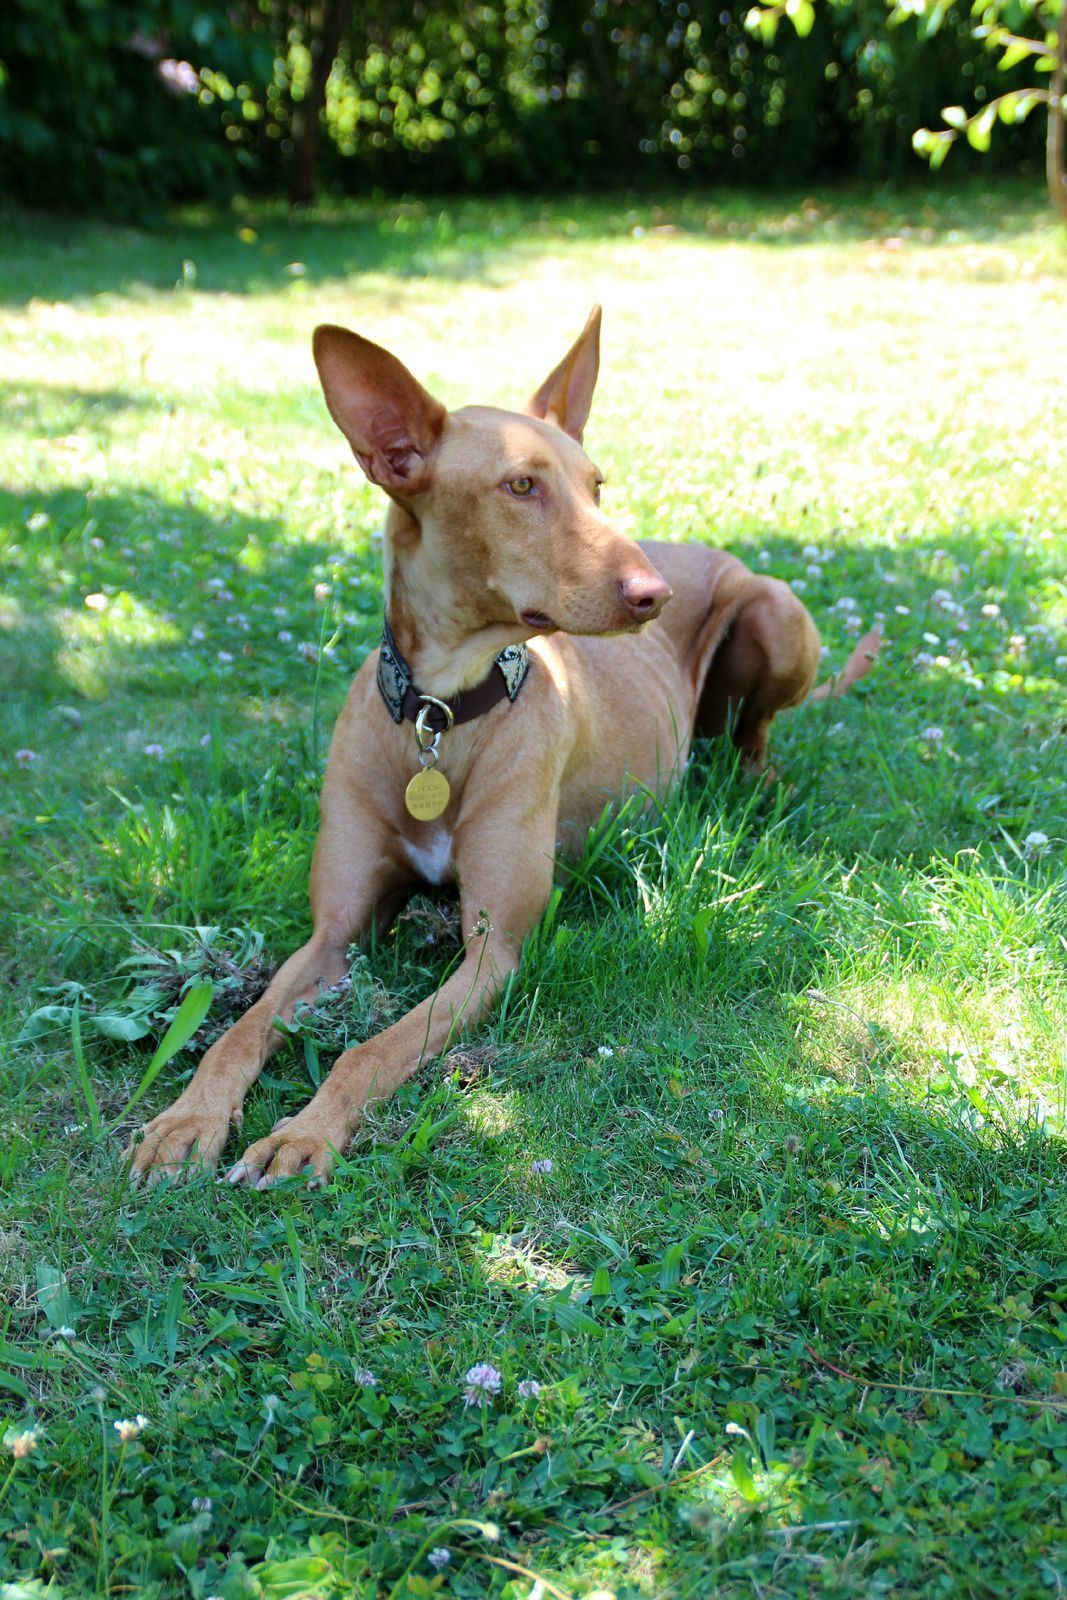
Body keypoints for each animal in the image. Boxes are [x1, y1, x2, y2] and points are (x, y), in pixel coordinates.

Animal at [127, 308, 876, 1190]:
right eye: (521, 487)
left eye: (596, 486)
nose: (652, 596)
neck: (442, 715)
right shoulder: (334, 932)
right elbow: (242, 1029)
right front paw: (186, 1121)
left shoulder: (494, 950)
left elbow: (369, 1051)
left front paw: (304, 1133)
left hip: (774, 610)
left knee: (752, 736)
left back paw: (753, 786)